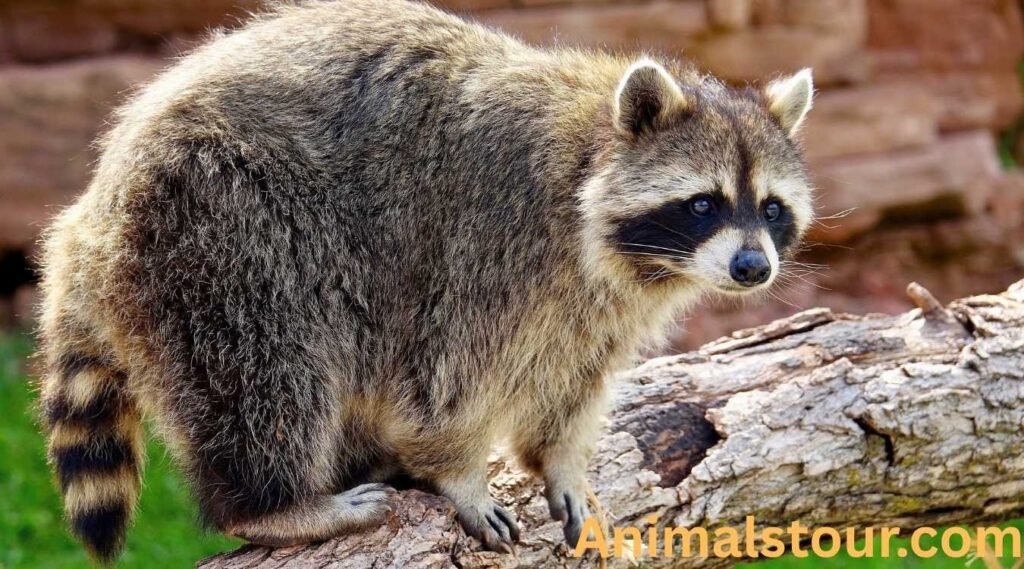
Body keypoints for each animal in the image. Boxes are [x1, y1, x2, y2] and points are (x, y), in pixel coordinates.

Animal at [36, 0, 814, 562]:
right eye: (704, 203)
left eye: (771, 209)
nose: (753, 268)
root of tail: (92, 210)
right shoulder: (491, 234)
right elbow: (445, 374)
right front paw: (458, 470)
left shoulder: (602, 300)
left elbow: (573, 375)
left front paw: (561, 460)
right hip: (214, 222)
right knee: (269, 362)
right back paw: (273, 504)